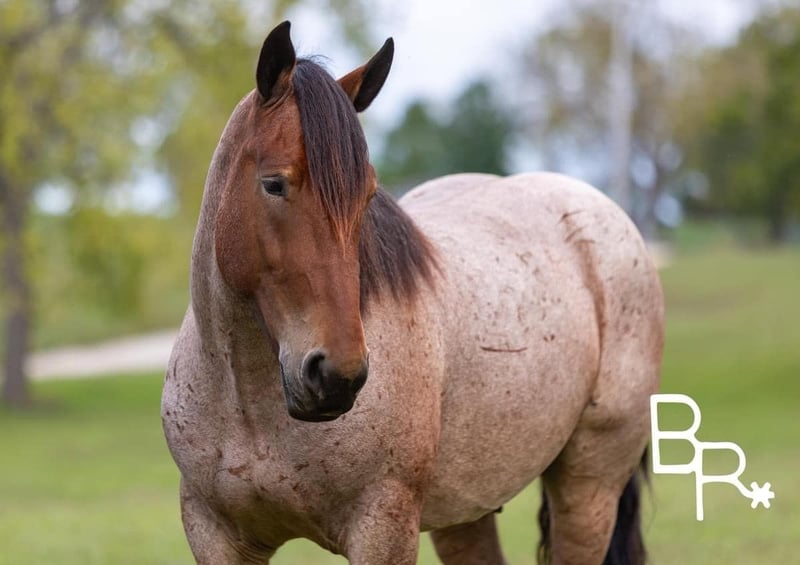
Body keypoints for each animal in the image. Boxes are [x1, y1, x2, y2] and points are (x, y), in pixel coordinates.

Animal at [162, 21, 663, 565]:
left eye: (366, 196)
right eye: (273, 184)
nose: (336, 377)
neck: (249, 408)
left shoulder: (382, 529)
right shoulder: (215, 535)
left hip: (588, 490)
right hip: (467, 512)